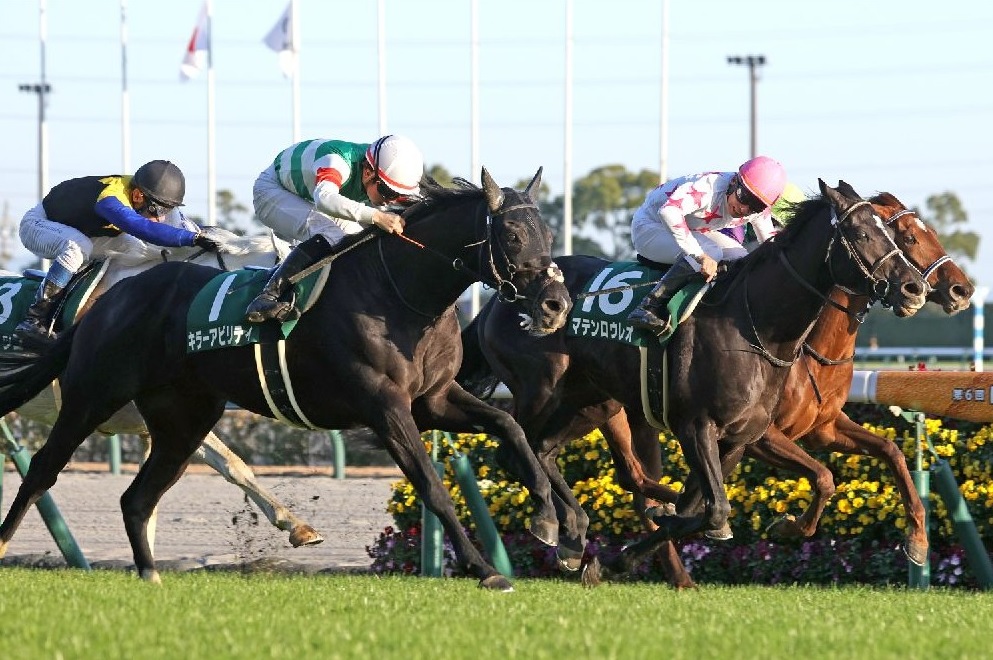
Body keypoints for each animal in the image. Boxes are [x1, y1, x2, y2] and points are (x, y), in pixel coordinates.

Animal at [0, 168, 568, 592]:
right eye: (512, 235)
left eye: (549, 236)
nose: (556, 304)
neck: (397, 292)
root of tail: (110, 300)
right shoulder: (385, 408)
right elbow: (433, 486)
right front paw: (486, 570)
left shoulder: (435, 399)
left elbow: (512, 429)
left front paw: (552, 523)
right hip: (91, 397)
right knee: (43, 471)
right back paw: (7, 541)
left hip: (182, 420)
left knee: (137, 498)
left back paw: (151, 576)